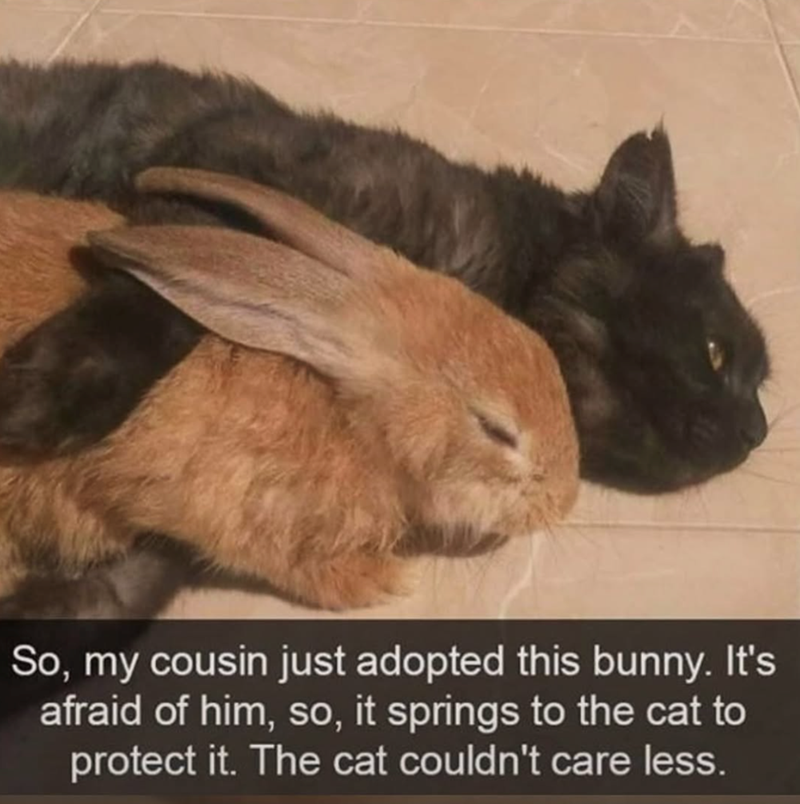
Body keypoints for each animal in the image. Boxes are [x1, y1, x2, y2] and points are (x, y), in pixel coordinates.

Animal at [0, 168, 579, 613]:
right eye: (496, 430)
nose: (564, 501)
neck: (346, 418)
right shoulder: (219, 507)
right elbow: (284, 560)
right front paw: (379, 580)